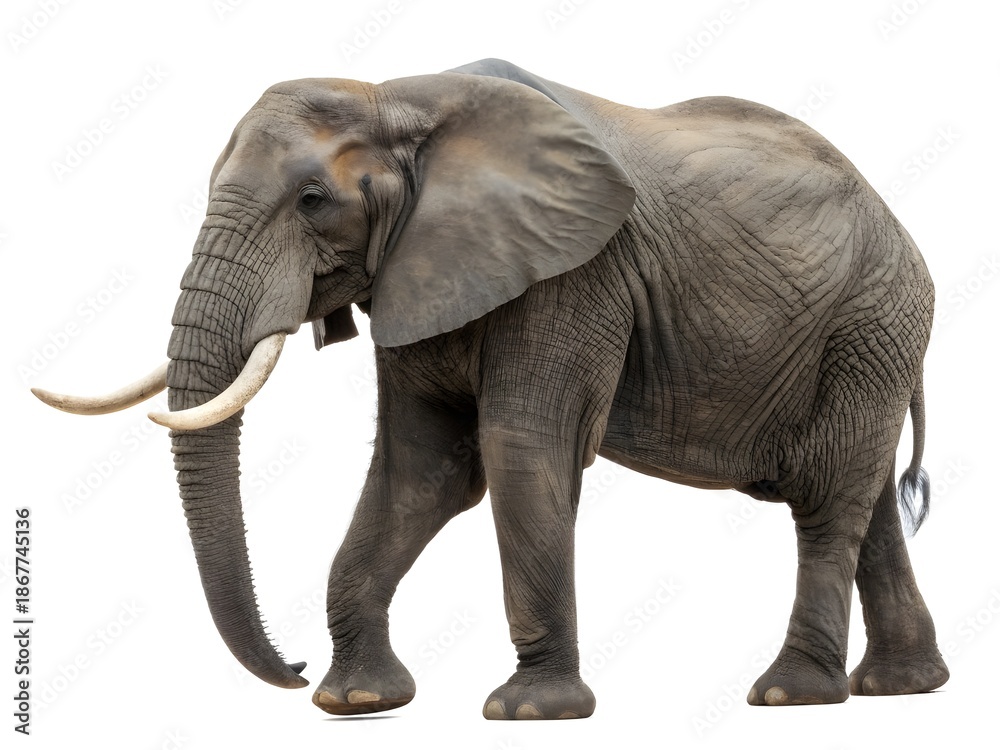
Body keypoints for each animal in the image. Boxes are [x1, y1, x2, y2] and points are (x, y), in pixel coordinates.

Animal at [34, 58, 949, 720]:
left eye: (312, 201)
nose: (290, 666)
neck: (396, 98)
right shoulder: (417, 271)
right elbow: (421, 471)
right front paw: (356, 699)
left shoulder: (573, 274)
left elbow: (519, 451)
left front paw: (529, 710)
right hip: (868, 338)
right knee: (862, 500)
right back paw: (900, 688)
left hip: (869, 321)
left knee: (827, 496)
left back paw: (791, 694)